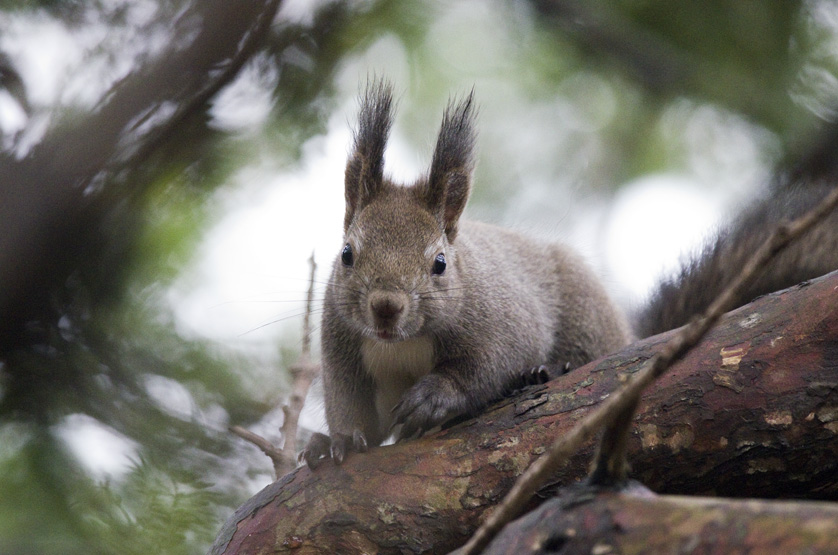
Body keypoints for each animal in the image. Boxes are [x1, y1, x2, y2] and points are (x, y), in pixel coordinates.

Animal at [302, 78, 838, 470]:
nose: (386, 307)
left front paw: (435, 396)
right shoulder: (341, 346)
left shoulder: (500, 319)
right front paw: (335, 440)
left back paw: (544, 373)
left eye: (439, 263)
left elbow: (486, 366)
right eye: (347, 254)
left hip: (585, 317)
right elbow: (350, 403)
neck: (400, 345)